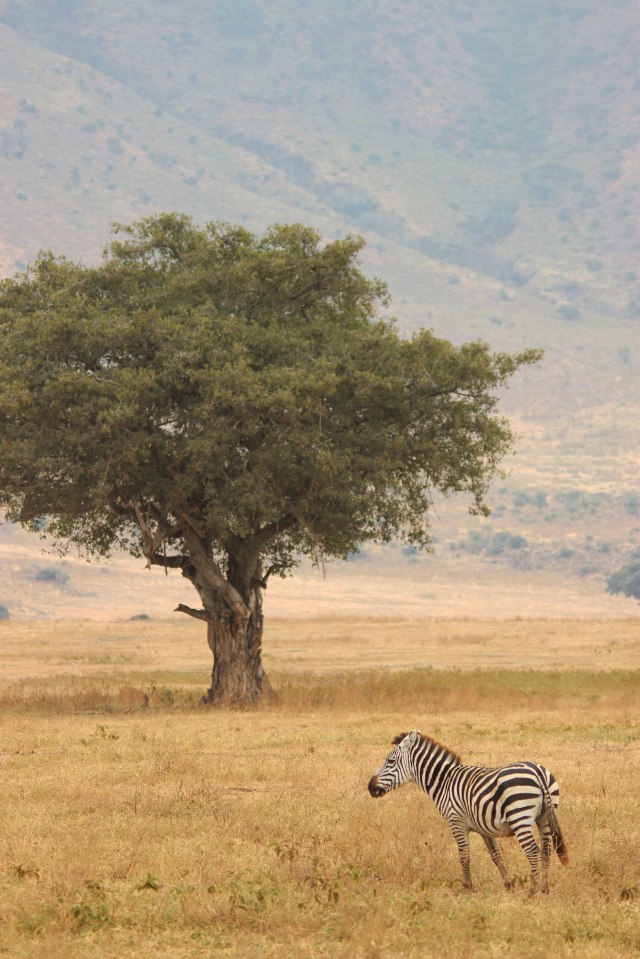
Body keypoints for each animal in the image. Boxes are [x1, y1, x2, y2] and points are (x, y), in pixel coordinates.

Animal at [368, 729, 568, 893]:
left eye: (390, 761)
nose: (370, 787)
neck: (444, 782)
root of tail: (537, 772)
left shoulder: (456, 821)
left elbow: (464, 855)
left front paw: (467, 887)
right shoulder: (484, 828)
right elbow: (496, 855)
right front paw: (509, 885)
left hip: (520, 817)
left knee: (533, 850)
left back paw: (533, 890)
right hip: (544, 818)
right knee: (545, 851)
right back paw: (544, 888)